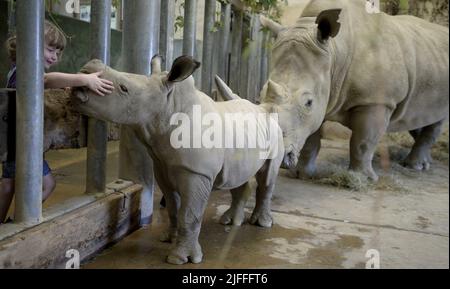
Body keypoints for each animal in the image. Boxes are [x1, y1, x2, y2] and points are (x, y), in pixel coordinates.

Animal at [71, 55, 284, 264]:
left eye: (124, 88)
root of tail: (264, 108)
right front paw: (168, 238)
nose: (86, 71)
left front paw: (180, 258)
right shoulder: (162, 165)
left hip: (275, 132)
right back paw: (230, 221)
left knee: (267, 177)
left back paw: (261, 224)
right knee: (237, 176)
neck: (167, 109)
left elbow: (189, 214)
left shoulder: (197, 173)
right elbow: (173, 207)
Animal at [258, 0, 448, 180]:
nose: (272, 155)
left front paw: (361, 178)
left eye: (308, 102)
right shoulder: (322, 96)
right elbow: (311, 139)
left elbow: (363, 141)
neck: (335, 53)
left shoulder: (376, 100)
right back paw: (425, 163)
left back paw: (415, 166)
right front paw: (301, 174)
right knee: (416, 115)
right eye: (260, 96)